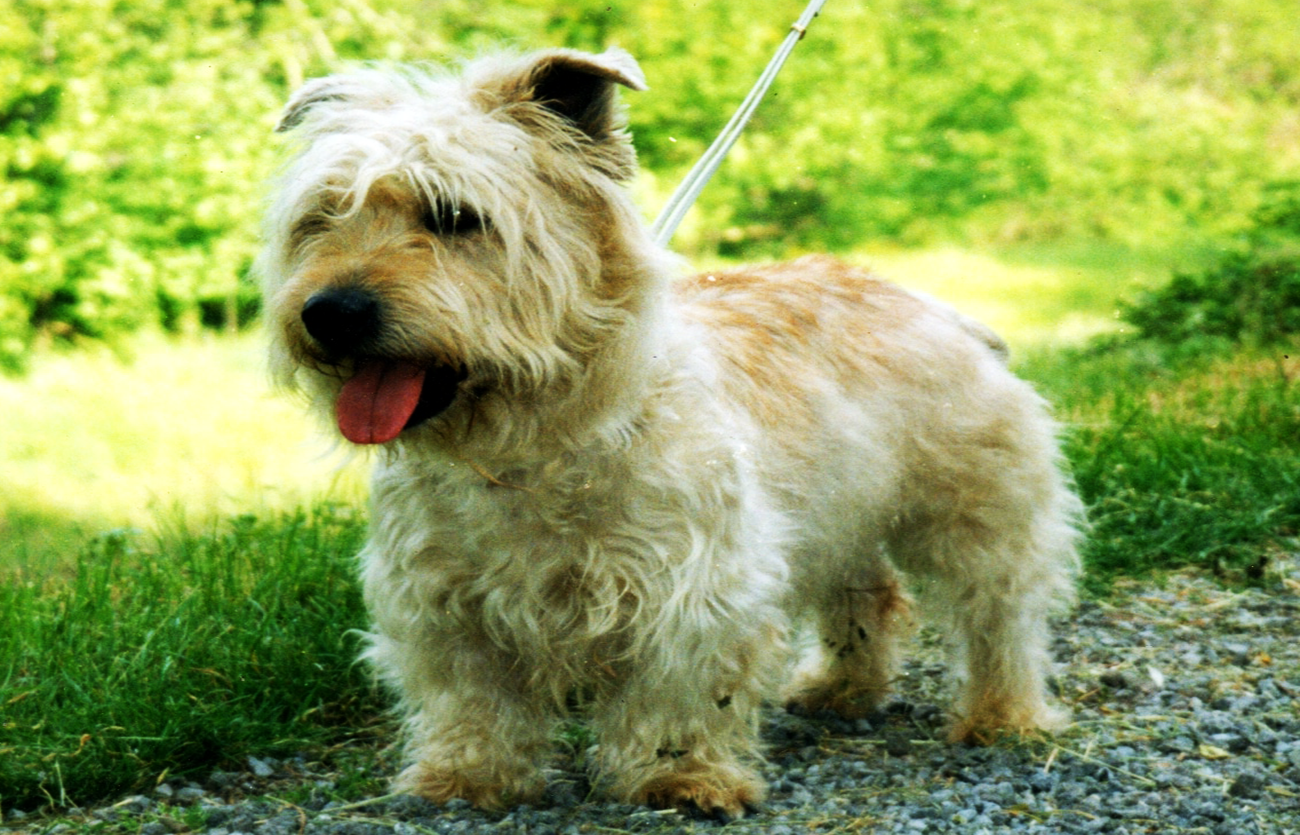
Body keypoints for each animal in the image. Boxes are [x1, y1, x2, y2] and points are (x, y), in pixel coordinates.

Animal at [258, 43, 1081, 811]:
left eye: (455, 216)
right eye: (321, 219)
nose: (330, 312)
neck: (533, 442)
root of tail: (930, 304)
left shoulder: (697, 591)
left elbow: (679, 693)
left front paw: (679, 776)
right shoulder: (441, 601)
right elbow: (473, 696)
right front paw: (468, 775)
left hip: (980, 515)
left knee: (1002, 613)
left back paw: (1002, 713)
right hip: (834, 518)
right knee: (869, 595)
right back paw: (842, 688)